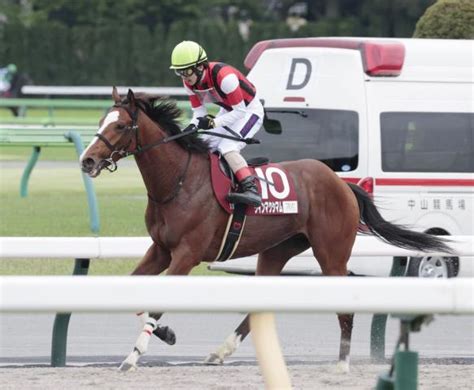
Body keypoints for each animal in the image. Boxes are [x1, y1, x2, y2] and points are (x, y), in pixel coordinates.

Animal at [79, 87, 450, 372]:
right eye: (100, 122)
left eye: (121, 125)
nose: (87, 160)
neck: (178, 181)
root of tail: (342, 184)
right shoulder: (160, 249)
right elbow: (132, 292)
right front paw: (165, 333)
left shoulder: (186, 254)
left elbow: (156, 302)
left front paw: (132, 358)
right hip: (277, 250)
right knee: (260, 302)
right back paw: (221, 351)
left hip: (331, 254)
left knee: (343, 303)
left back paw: (343, 363)